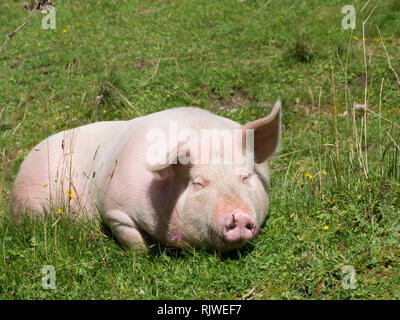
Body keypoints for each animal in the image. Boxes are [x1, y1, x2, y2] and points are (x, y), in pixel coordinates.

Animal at [11, 101, 282, 251]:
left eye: (245, 177)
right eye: (198, 183)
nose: (239, 215)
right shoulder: (114, 207)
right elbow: (132, 239)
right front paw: (147, 249)